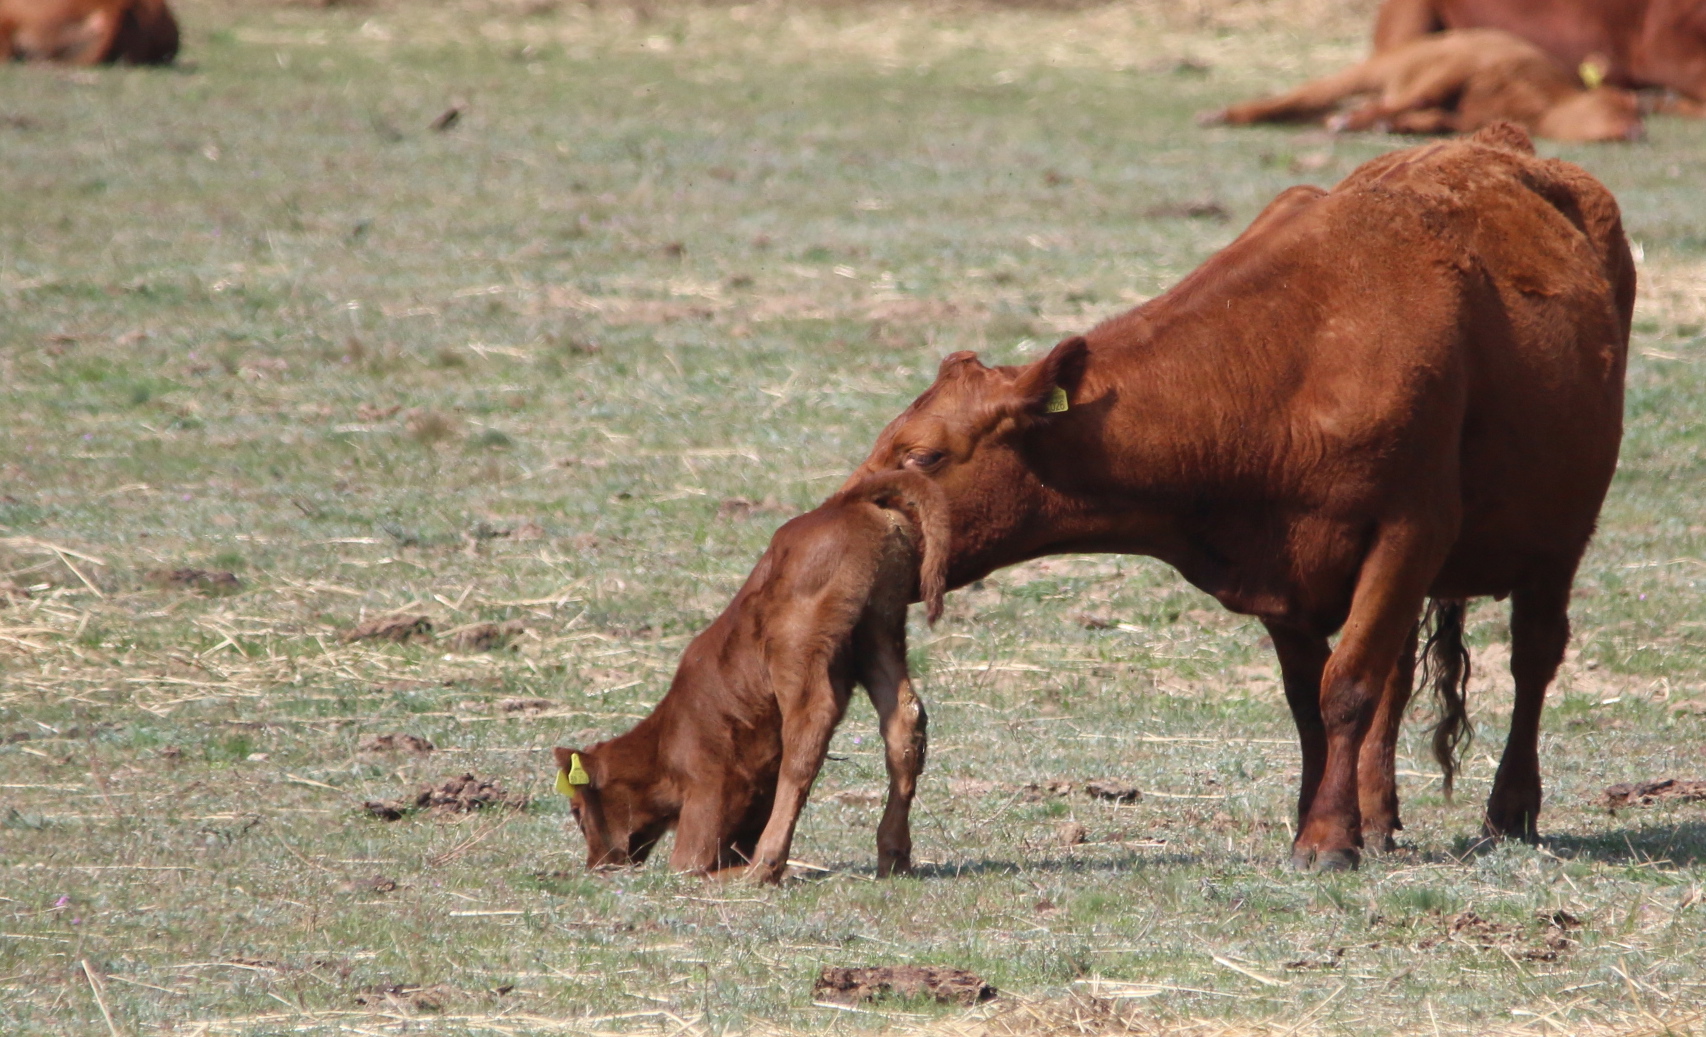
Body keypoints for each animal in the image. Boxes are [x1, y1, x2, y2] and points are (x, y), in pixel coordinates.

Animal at [552, 470, 948, 880]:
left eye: (577, 811)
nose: (595, 865)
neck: (665, 743)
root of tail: (844, 503)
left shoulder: (705, 798)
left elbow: (688, 865)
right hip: (880, 627)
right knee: (903, 721)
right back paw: (893, 855)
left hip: (798, 646)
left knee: (808, 734)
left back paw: (764, 866)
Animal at [846, 127, 1630, 873]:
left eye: (922, 456)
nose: (844, 521)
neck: (1297, 355)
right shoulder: (1282, 570)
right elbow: (1311, 700)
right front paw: (1324, 819)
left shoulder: (1410, 530)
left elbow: (1346, 686)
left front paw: (1326, 838)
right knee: (1401, 674)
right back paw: (1378, 814)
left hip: (1558, 538)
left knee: (1532, 659)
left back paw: (1511, 808)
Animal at [1207, 27, 1644, 141]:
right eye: (1625, 104)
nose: (1639, 129)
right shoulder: (1460, 67)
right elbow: (1417, 100)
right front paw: (1358, 122)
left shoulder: (1460, 118)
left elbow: (1427, 119)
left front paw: (1382, 124)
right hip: (1368, 71)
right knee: (1300, 96)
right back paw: (1223, 114)